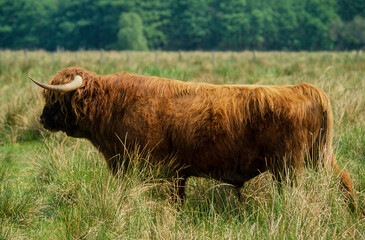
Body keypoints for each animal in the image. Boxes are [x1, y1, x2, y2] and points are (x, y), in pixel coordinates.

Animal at [31, 66, 362, 216]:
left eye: (55, 99)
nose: (42, 119)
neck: (115, 106)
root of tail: (303, 88)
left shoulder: (151, 168)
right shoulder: (175, 172)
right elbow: (178, 200)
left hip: (289, 166)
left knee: (298, 192)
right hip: (320, 156)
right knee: (343, 178)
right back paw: (354, 213)